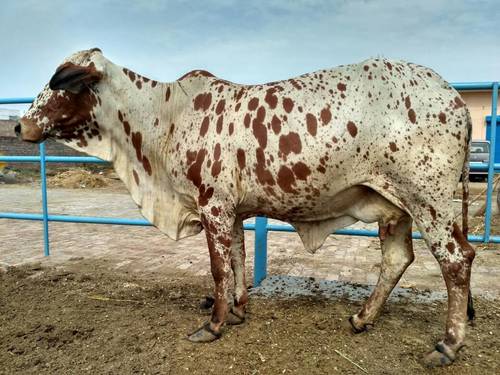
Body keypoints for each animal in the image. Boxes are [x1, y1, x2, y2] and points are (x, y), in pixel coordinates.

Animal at [16, 49, 476, 368]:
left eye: (63, 82)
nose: (20, 125)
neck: (165, 117)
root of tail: (454, 98)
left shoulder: (213, 205)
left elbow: (219, 269)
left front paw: (214, 324)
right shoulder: (232, 211)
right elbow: (236, 259)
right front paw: (238, 309)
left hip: (429, 201)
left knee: (457, 260)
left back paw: (447, 345)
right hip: (395, 208)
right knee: (398, 259)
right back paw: (362, 318)